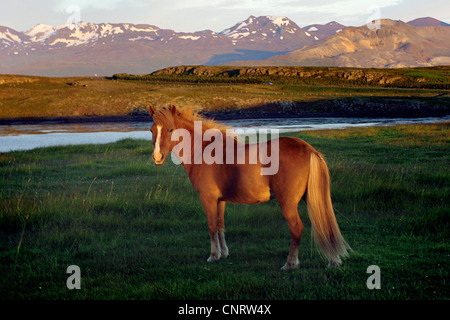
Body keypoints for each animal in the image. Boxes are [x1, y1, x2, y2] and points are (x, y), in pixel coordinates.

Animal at [149, 105, 350, 270]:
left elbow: (212, 226)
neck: (205, 150)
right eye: (152, 130)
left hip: (288, 203)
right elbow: (221, 226)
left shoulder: (208, 198)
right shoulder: (220, 200)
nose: (157, 157)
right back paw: (333, 261)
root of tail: (309, 149)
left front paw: (213, 256)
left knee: (296, 228)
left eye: (171, 129)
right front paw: (224, 253)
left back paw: (290, 264)